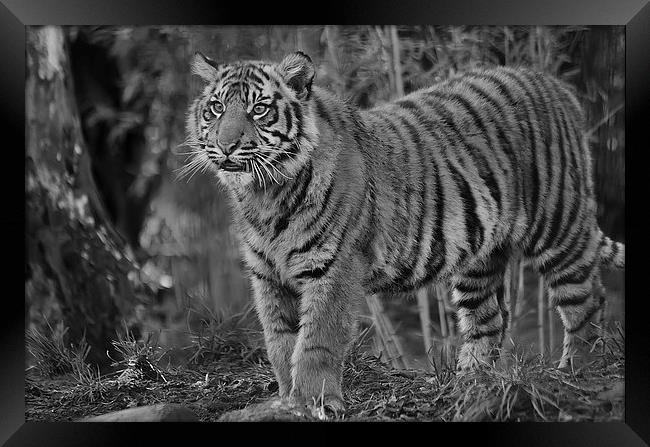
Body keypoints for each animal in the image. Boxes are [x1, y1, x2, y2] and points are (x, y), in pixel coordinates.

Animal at [182, 51, 624, 412]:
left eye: (259, 109)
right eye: (216, 108)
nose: (226, 145)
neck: (265, 195)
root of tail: (556, 84)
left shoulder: (332, 269)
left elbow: (316, 341)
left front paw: (315, 402)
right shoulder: (267, 275)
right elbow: (280, 341)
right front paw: (288, 400)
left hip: (558, 227)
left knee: (587, 301)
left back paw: (575, 373)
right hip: (478, 256)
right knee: (490, 318)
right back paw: (469, 385)